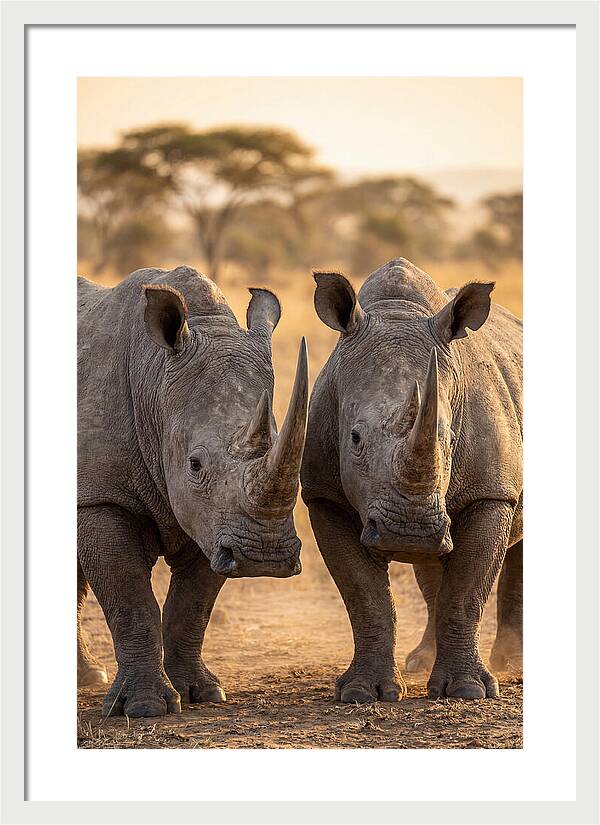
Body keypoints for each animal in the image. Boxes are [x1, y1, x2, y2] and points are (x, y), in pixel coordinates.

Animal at [77, 265, 308, 718]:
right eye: (195, 464)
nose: (264, 557)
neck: (154, 378)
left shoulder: (215, 521)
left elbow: (192, 605)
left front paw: (200, 693)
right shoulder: (100, 496)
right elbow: (130, 600)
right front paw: (144, 708)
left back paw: (88, 677)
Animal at [301, 258, 522, 702]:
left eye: (449, 439)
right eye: (354, 438)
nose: (410, 531)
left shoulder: (492, 493)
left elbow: (467, 593)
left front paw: (468, 691)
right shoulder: (323, 495)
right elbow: (365, 597)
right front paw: (363, 692)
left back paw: (512, 663)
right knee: (433, 569)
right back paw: (421, 661)